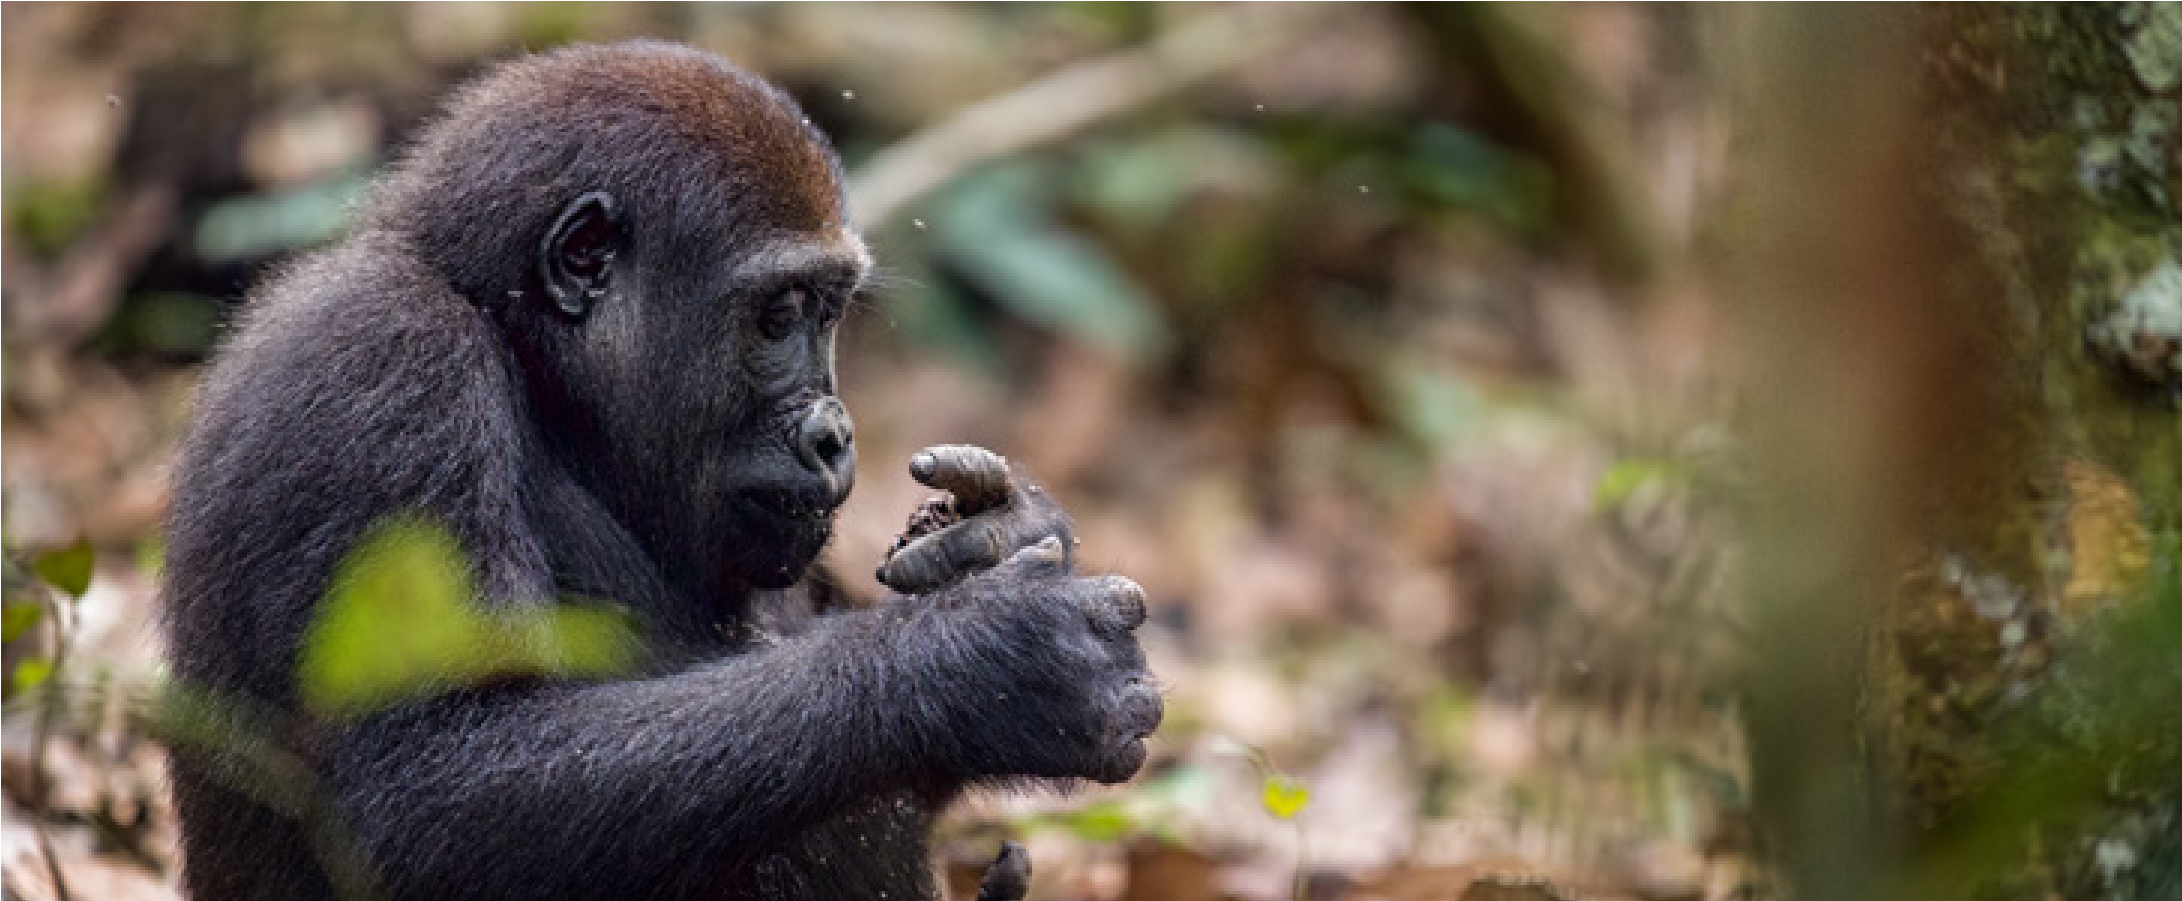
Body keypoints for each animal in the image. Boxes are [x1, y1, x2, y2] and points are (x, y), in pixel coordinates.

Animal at [161, 40, 1159, 901]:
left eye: (828, 313)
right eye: (778, 314)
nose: (836, 435)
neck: (520, 347)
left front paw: (999, 534)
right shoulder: (387, 367)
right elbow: (423, 793)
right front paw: (983, 664)